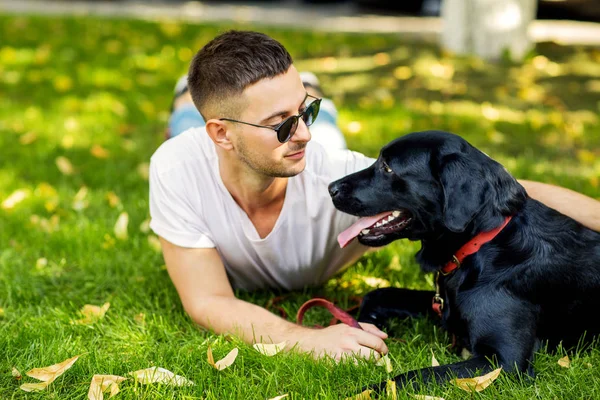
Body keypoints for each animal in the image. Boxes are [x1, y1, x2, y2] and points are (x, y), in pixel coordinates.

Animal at [328, 130, 600, 390]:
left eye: (387, 167)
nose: (331, 188)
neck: (479, 246)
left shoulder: (504, 361)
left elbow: (414, 375)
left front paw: (366, 390)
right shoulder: (442, 305)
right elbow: (378, 293)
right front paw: (369, 323)